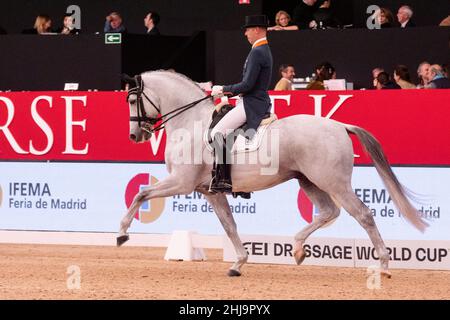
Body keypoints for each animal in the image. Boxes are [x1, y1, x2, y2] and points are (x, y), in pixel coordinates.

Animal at [118, 70, 428, 278]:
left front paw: (122, 234)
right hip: (308, 181)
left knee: (363, 215)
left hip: (334, 182)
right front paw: (238, 263)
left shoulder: (182, 183)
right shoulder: (210, 191)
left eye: (132, 100)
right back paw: (298, 249)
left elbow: (141, 193)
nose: (135, 135)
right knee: (329, 212)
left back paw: (383, 266)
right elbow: (229, 225)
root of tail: (340, 125)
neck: (190, 122)